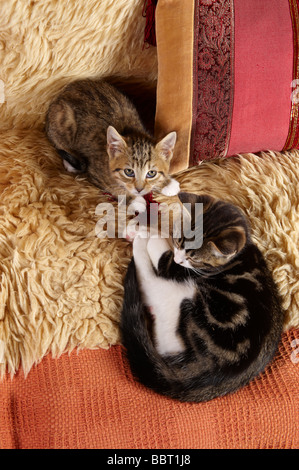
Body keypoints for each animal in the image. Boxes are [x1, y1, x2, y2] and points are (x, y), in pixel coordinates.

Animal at [44, 78, 180, 207]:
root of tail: (61, 94)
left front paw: (167, 183)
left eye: (151, 173)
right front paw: (134, 200)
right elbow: (112, 187)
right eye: (129, 172)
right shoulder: (95, 172)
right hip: (63, 122)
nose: (139, 190)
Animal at [120, 193, 284, 402]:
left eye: (194, 258)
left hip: (184, 300)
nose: (179, 258)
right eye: (178, 241)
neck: (243, 251)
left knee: (149, 282)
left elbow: (162, 251)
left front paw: (148, 232)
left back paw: (140, 242)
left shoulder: (183, 270)